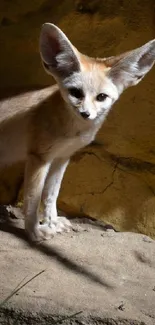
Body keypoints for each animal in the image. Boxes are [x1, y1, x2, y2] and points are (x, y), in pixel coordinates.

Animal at [0, 23, 154, 240]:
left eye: (101, 97)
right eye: (75, 93)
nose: (85, 114)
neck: (72, 131)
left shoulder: (62, 157)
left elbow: (51, 194)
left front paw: (52, 222)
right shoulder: (39, 158)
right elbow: (32, 199)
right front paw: (34, 231)